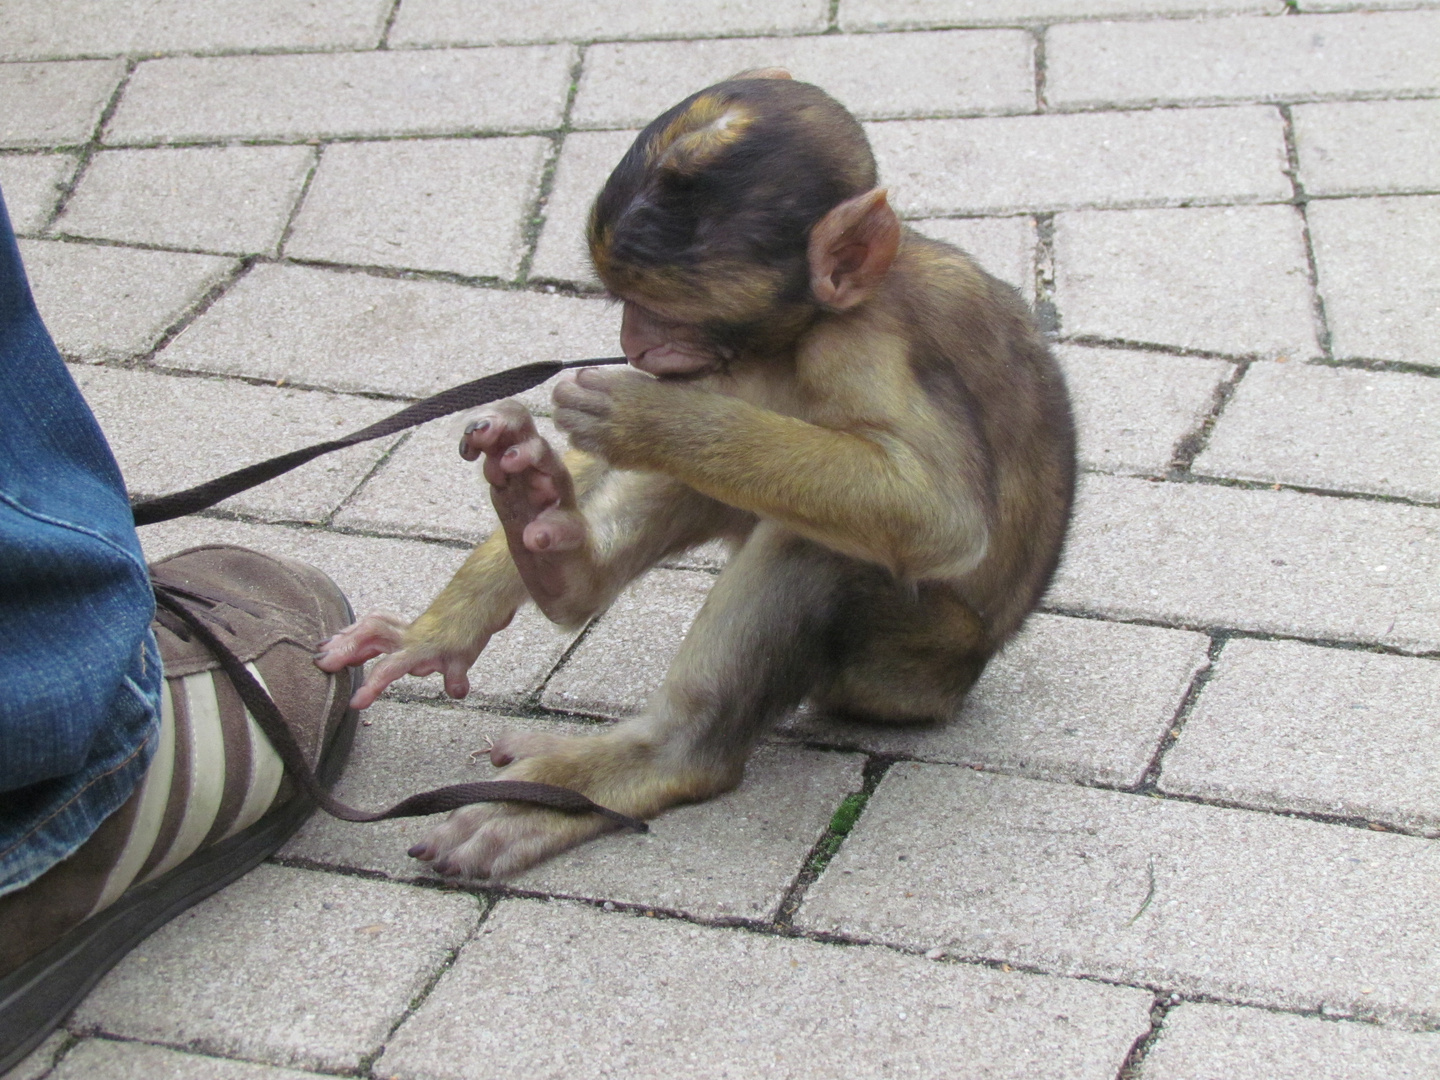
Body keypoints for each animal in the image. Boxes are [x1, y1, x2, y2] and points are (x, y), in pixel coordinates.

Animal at [321, 74, 1077, 881]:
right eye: (623, 303)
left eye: (664, 310)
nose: (632, 344)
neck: (816, 320)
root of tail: (955, 685)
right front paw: (444, 624)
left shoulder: (862, 343)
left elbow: (939, 514)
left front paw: (648, 417)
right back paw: (554, 555)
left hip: (908, 662)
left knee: (820, 545)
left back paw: (650, 760)